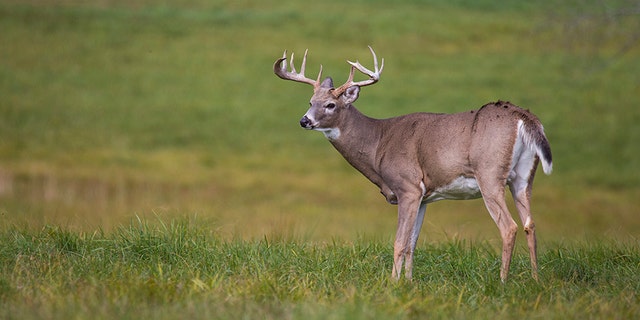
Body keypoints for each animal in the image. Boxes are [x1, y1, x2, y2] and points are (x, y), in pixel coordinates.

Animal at [272, 46, 552, 282]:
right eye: (310, 102)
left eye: (330, 104)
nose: (304, 120)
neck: (378, 143)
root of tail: (524, 118)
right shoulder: (424, 196)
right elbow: (412, 243)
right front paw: (408, 281)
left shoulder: (407, 186)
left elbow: (399, 242)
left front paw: (392, 283)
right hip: (523, 176)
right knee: (530, 224)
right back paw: (536, 279)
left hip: (490, 173)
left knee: (509, 227)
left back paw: (502, 281)